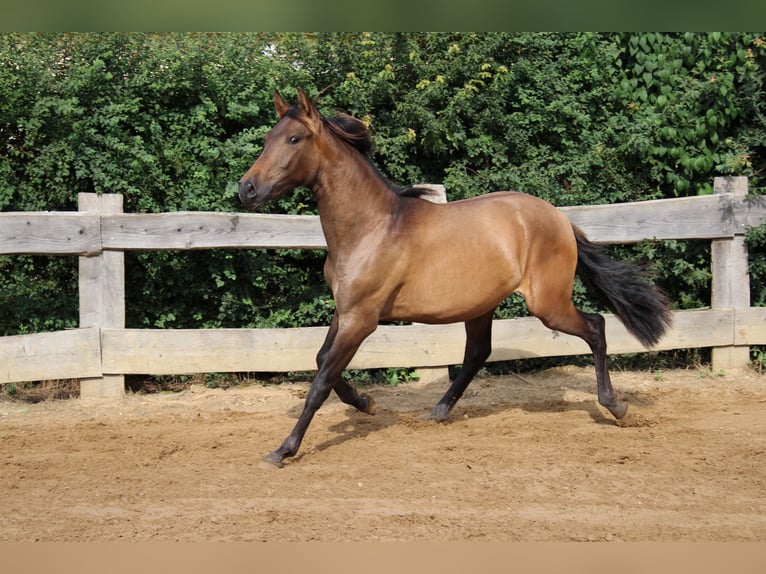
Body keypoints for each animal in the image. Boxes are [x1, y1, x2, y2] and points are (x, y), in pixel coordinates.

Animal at [240, 89, 672, 468]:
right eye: (267, 137)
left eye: (294, 138)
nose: (247, 189)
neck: (370, 226)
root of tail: (561, 220)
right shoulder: (344, 311)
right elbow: (321, 362)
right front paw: (366, 403)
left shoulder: (362, 318)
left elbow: (321, 381)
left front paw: (282, 451)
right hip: (482, 304)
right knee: (478, 353)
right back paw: (438, 410)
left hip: (547, 304)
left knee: (596, 326)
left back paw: (616, 406)